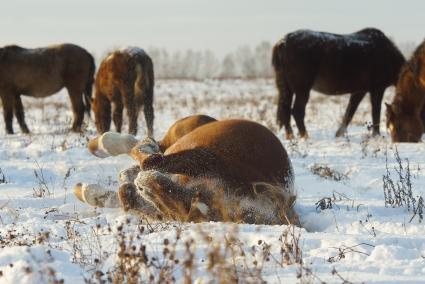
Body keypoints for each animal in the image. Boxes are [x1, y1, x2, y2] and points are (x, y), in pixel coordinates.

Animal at [73, 115, 298, 224]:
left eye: (192, 210)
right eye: (198, 198)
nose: (145, 185)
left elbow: (130, 194)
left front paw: (94, 193)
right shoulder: (204, 158)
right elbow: (150, 159)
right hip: (183, 134)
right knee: (151, 147)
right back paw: (103, 145)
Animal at [272, 27, 404, 139]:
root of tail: (284, 42)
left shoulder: (359, 91)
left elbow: (350, 111)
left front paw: (339, 133)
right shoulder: (377, 89)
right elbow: (375, 112)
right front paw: (376, 135)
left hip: (287, 89)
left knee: (285, 110)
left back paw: (291, 137)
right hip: (302, 89)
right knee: (297, 112)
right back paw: (305, 137)